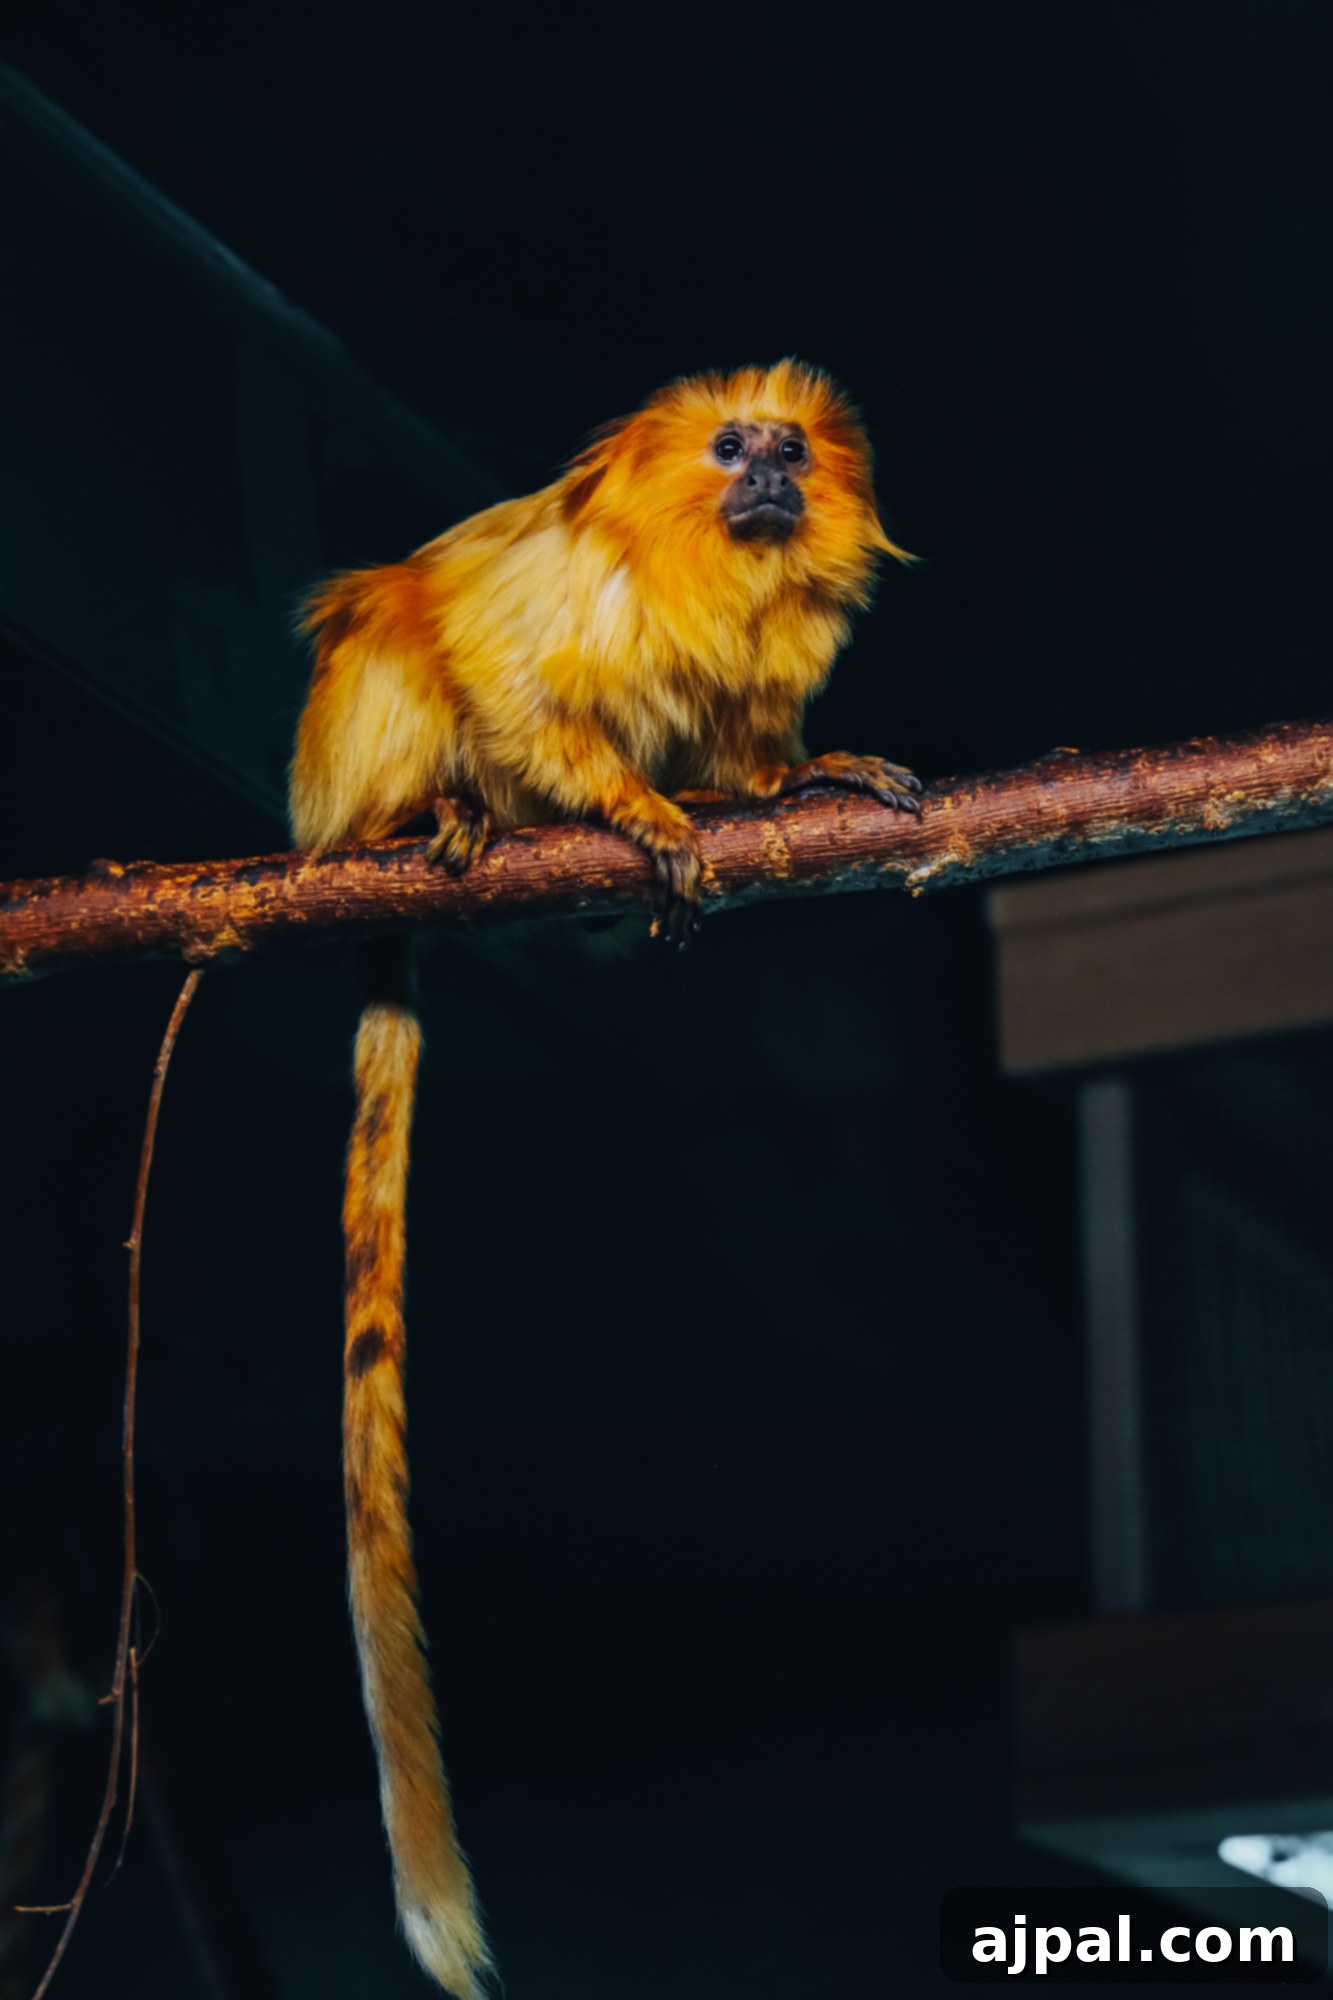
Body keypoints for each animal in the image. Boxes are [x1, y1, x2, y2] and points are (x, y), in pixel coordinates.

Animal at [288, 359, 920, 1995]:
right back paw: (428, 818)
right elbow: (510, 680)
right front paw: (635, 816)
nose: (767, 475)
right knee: (396, 634)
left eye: (790, 452)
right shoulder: (564, 605)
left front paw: (799, 775)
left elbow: (748, 745)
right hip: (345, 753)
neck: (719, 567)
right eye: (729, 446)